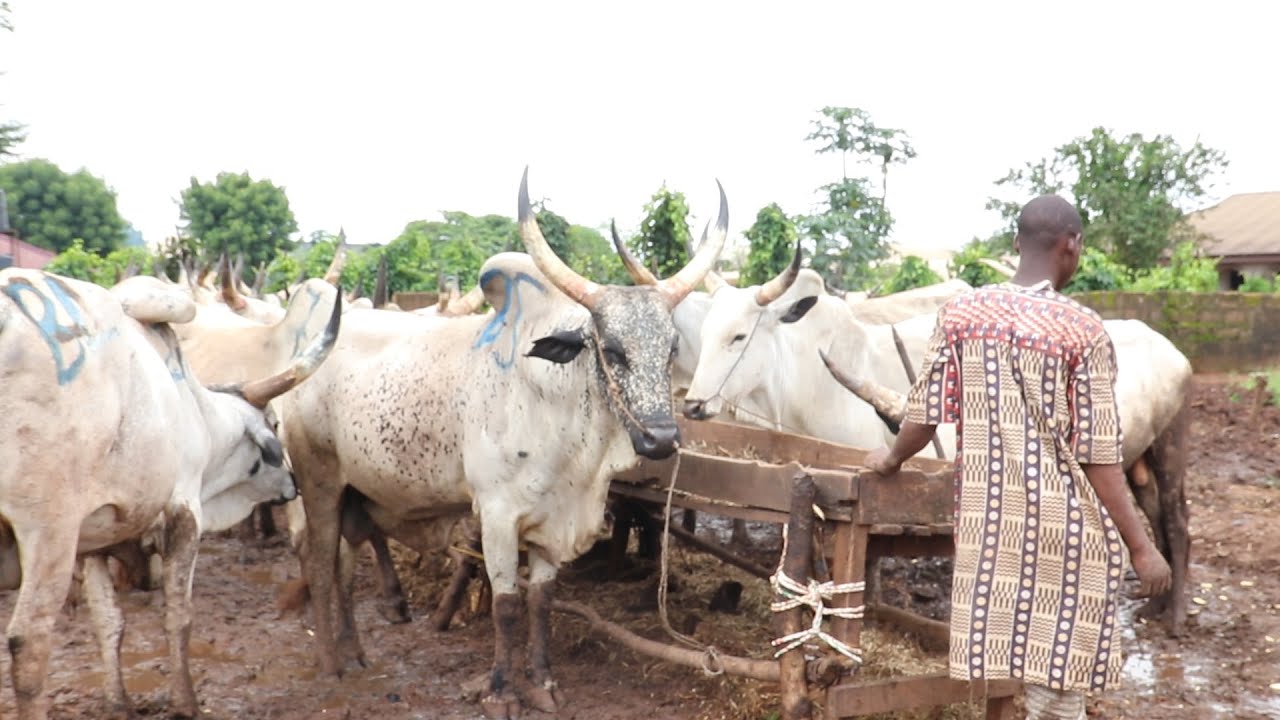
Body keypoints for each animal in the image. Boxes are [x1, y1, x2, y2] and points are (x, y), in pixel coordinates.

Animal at [0, 270, 339, 719]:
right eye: (275, 426)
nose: (292, 484)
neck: (197, 411)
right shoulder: (184, 514)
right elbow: (179, 616)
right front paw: (185, 703)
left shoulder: (94, 543)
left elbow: (109, 624)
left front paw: (118, 703)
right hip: (48, 530)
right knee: (29, 643)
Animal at [280, 169, 728, 719]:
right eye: (613, 349)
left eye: (669, 350)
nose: (661, 438)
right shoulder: (495, 517)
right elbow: (506, 605)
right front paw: (500, 690)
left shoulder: (553, 524)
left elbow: (540, 603)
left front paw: (543, 682)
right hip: (319, 481)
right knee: (321, 564)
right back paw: (330, 663)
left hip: (355, 492)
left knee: (345, 563)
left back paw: (355, 651)